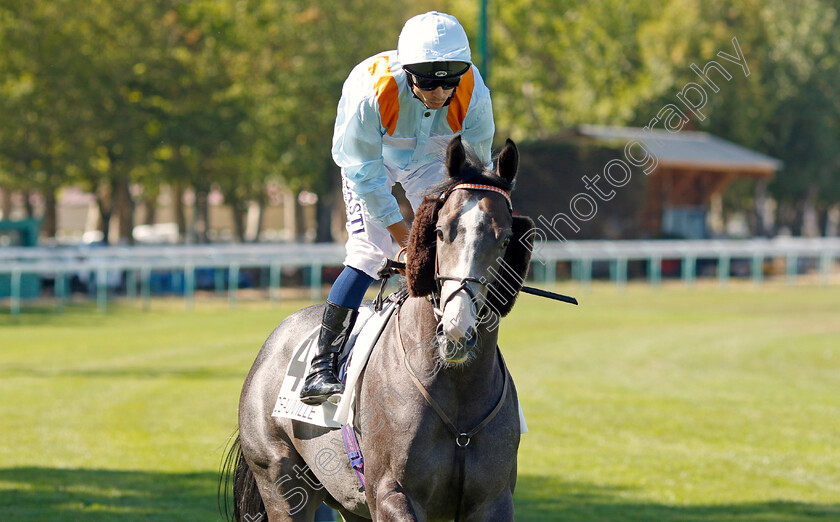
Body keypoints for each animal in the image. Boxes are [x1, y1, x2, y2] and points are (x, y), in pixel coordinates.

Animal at [221, 136, 540, 516]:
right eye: (439, 232)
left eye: (505, 239)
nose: (456, 330)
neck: (457, 389)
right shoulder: (392, 493)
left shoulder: (493, 500)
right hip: (281, 484)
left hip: (347, 500)